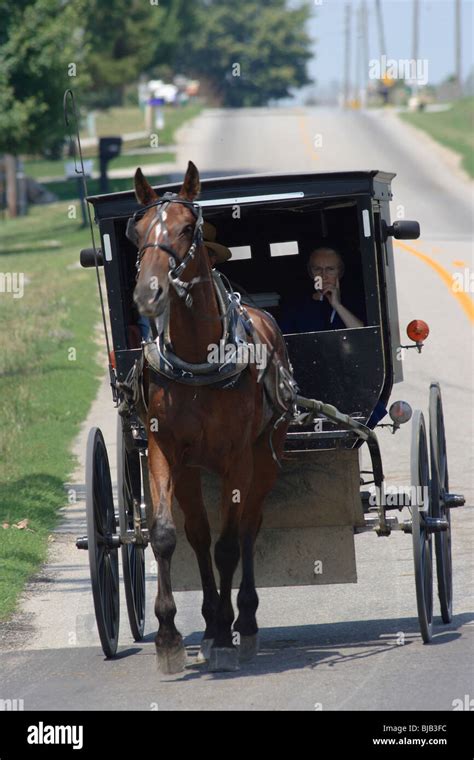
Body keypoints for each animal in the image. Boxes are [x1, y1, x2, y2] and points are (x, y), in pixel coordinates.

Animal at [130, 160, 296, 672]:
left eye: (187, 228)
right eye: (136, 231)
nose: (148, 293)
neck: (197, 359)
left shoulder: (237, 459)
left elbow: (228, 545)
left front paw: (225, 634)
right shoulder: (164, 452)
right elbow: (168, 536)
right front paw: (169, 635)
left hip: (266, 455)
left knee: (246, 529)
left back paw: (244, 621)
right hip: (191, 471)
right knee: (199, 534)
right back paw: (206, 623)